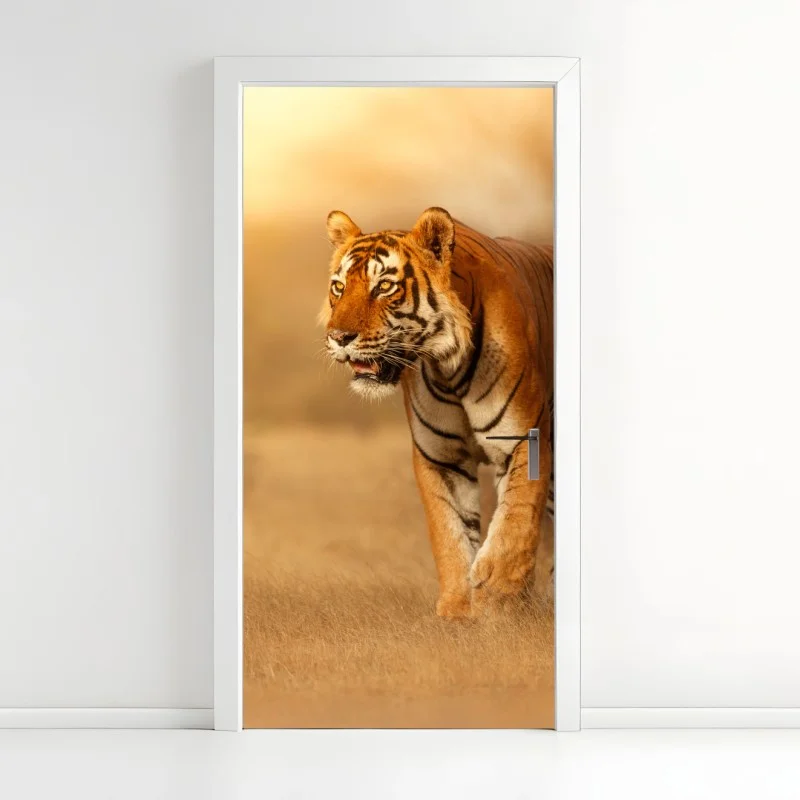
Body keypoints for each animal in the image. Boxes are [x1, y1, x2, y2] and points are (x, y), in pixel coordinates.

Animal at [322, 207, 553, 619]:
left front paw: (498, 598)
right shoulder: (441, 456)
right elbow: (450, 532)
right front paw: (459, 609)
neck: (449, 369)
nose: (339, 338)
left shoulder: (525, 438)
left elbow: (516, 519)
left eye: (384, 287)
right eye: (338, 287)